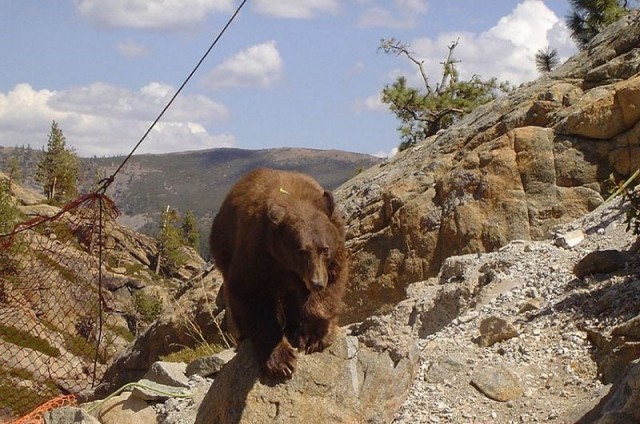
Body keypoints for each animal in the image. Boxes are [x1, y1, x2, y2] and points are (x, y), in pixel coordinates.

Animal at [210, 167, 348, 380]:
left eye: (325, 249)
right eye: (301, 251)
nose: (316, 283)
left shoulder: (335, 242)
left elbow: (332, 282)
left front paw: (313, 336)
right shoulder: (256, 251)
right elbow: (251, 295)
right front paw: (280, 360)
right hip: (223, 247)